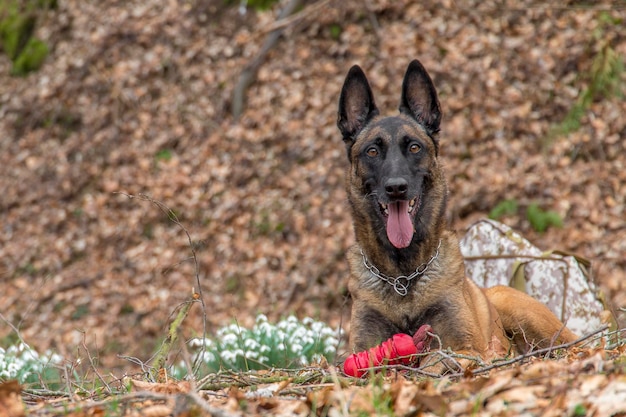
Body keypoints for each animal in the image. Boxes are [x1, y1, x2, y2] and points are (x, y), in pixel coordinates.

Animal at [336, 59, 576, 374]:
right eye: (372, 151)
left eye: (414, 147)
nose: (396, 188)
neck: (403, 279)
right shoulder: (363, 348)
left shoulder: (467, 347)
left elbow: (436, 356)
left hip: (519, 309)